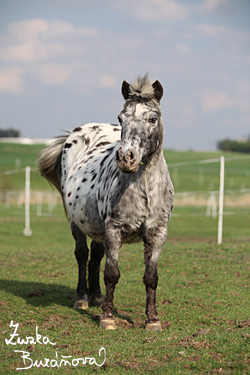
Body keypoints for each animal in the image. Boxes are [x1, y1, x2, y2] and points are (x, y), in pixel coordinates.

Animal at [38, 74, 174, 332]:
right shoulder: (114, 229)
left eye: (152, 118)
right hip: (76, 223)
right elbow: (112, 273)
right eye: (121, 118)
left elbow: (151, 277)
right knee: (82, 254)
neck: (144, 189)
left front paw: (152, 320)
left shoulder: (157, 232)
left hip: (97, 227)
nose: (126, 158)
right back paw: (82, 298)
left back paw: (96, 297)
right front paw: (108, 318)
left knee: (96, 255)